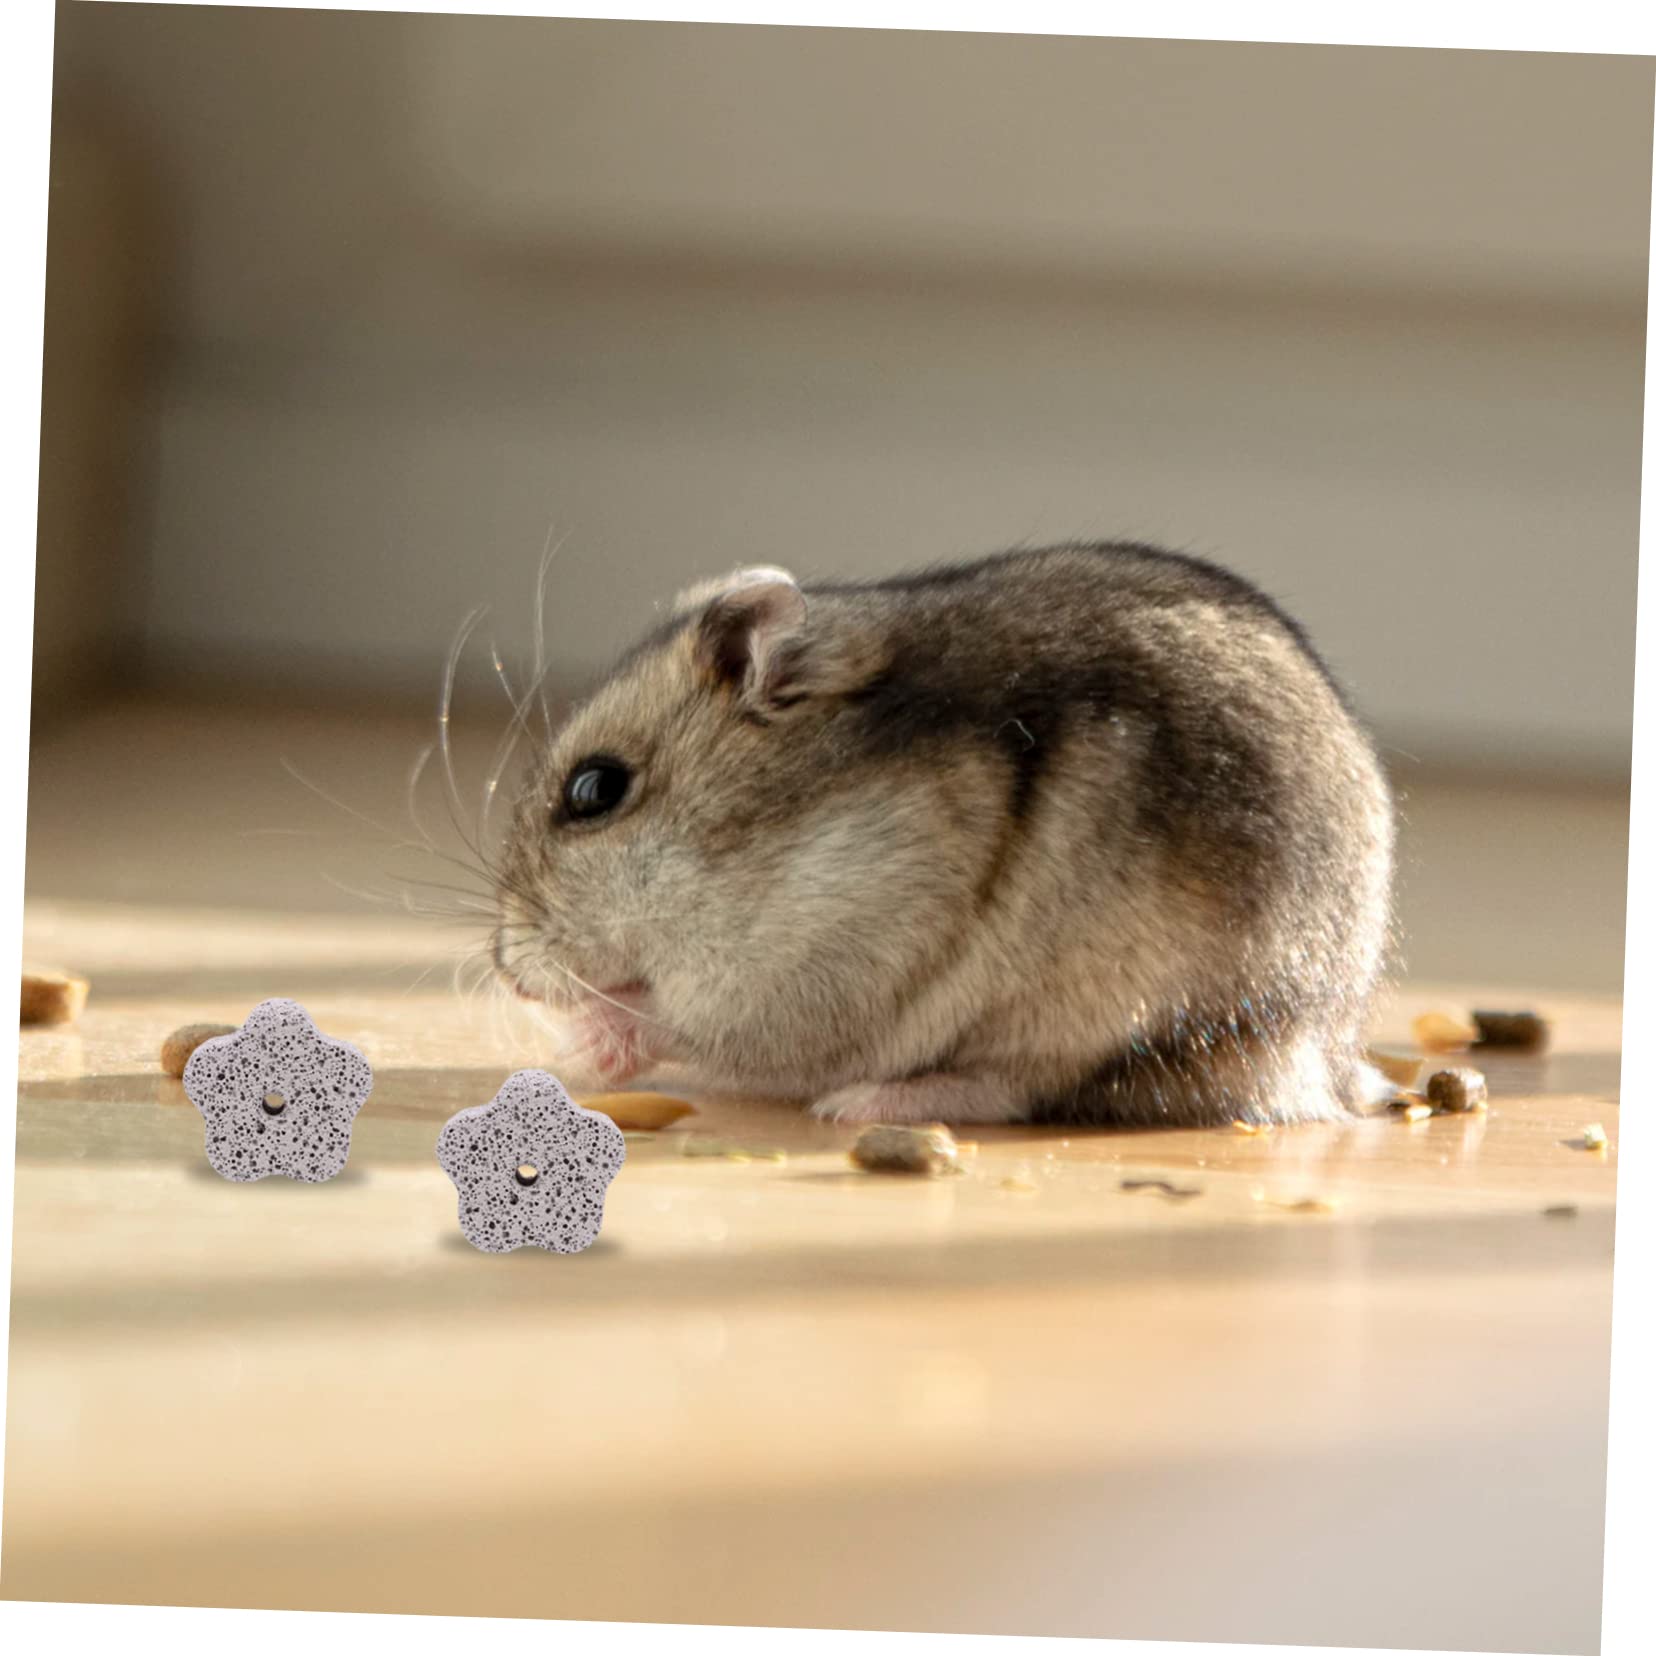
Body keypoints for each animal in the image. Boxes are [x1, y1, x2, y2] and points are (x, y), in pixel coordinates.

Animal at [491, 541, 1395, 1127]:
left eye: (594, 790)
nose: (508, 973)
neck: (766, 849)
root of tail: (1327, 1055)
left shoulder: (819, 961)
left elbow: (681, 1018)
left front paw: (582, 1043)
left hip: (1111, 1015)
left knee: (1021, 1089)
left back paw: (866, 1104)